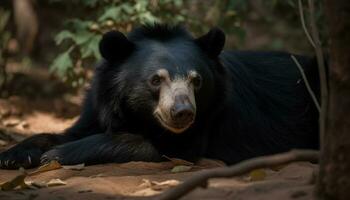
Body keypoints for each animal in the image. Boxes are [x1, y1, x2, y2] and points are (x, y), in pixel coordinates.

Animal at [0, 24, 318, 170]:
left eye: (196, 81)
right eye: (155, 80)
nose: (183, 112)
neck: (141, 117)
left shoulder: (207, 120)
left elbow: (148, 145)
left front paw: (58, 154)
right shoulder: (98, 105)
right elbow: (70, 131)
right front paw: (14, 155)